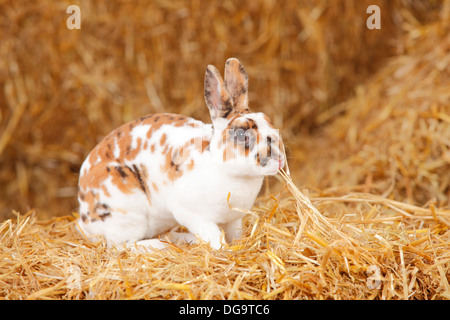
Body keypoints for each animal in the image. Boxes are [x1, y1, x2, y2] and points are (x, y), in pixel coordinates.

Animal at [77, 58, 284, 251]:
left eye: (268, 120)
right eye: (242, 135)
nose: (279, 158)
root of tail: (84, 217)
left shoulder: (233, 220)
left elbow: (235, 235)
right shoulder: (192, 214)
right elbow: (214, 236)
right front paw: (223, 250)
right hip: (127, 211)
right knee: (121, 246)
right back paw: (161, 246)